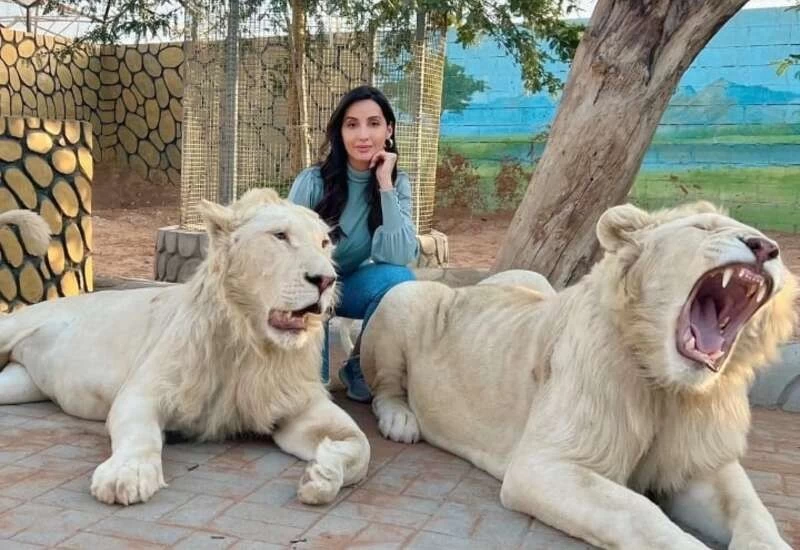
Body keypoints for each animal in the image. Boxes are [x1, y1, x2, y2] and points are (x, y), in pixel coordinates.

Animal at [0, 189, 370, 506]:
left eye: (324, 242)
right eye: (280, 236)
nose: (326, 280)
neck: (252, 346)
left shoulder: (300, 407)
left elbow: (361, 447)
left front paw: (321, 476)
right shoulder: (143, 391)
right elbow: (141, 435)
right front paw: (126, 475)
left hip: (19, 385)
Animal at [360, 201, 796, 550]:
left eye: (769, 244)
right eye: (702, 227)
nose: (766, 248)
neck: (670, 389)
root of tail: (463, 288)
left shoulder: (700, 465)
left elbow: (753, 512)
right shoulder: (544, 465)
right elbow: (641, 515)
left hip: (531, 280)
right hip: (403, 298)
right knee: (385, 387)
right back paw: (401, 421)